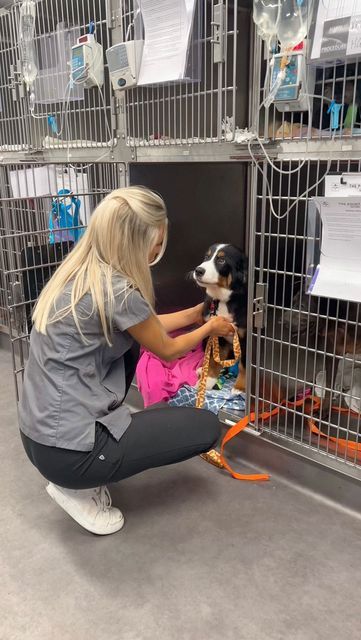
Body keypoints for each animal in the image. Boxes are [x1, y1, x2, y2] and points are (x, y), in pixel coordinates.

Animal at [194, 244, 248, 392]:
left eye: (221, 260)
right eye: (206, 257)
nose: (198, 270)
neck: (224, 300)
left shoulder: (246, 339)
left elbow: (244, 365)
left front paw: (240, 387)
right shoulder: (216, 334)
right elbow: (214, 359)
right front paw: (208, 380)